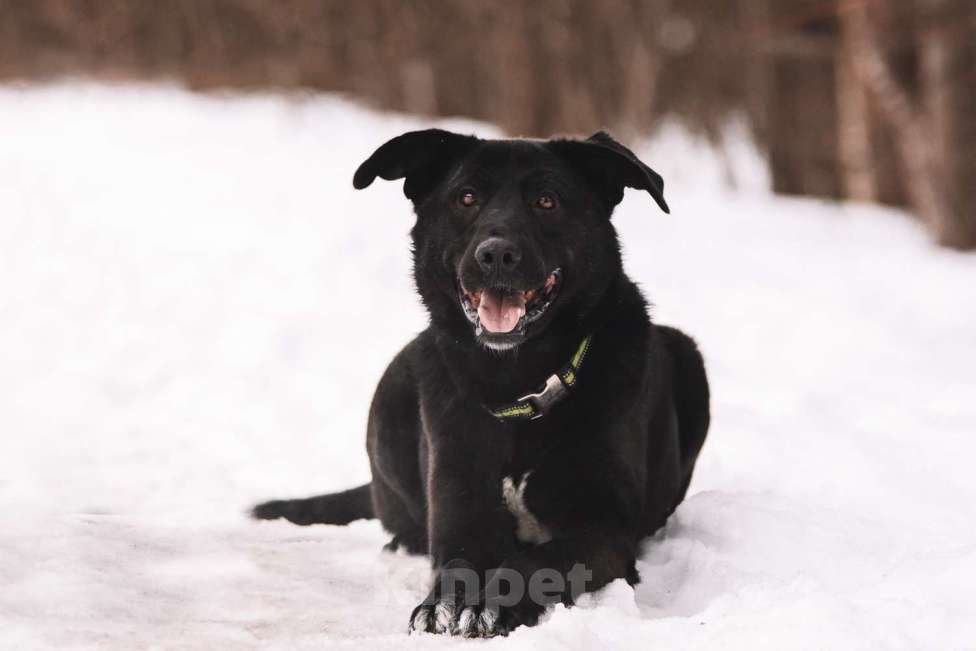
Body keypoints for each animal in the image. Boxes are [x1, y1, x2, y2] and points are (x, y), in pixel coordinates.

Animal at [252, 130, 708, 640]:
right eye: (466, 197)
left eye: (546, 201)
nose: (496, 255)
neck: (515, 386)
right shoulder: (459, 507)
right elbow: (458, 562)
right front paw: (447, 603)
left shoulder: (603, 528)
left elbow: (541, 561)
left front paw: (493, 603)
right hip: (396, 382)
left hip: (689, 357)